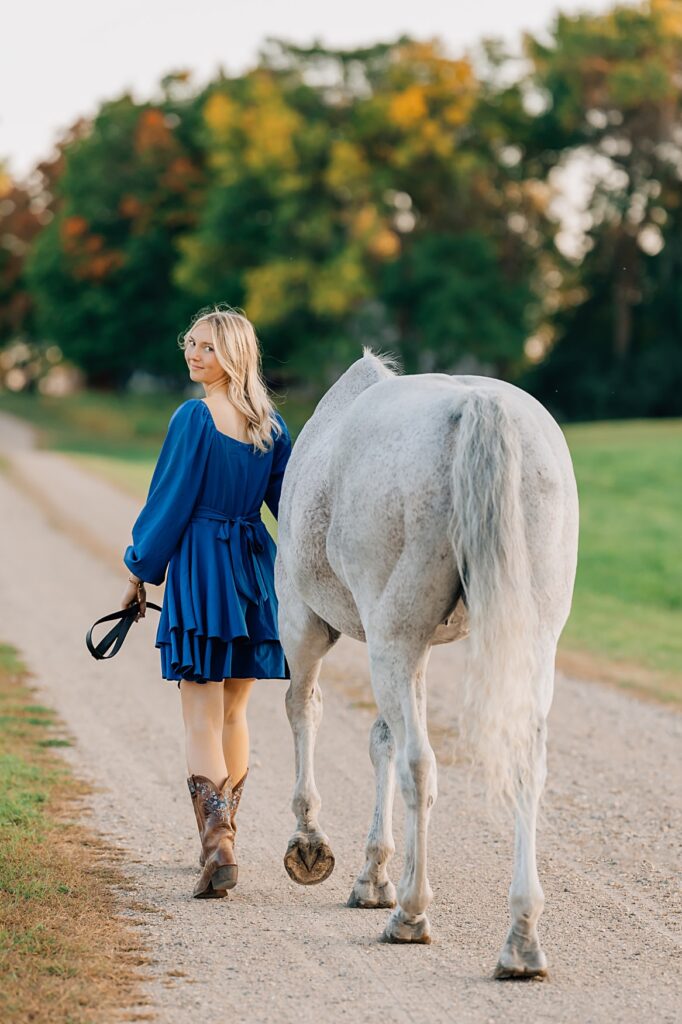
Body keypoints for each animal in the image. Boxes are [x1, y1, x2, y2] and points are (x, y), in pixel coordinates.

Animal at [274, 350, 577, 974]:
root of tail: (479, 406)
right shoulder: (411, 652)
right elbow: (380, 740)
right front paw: (373, 874)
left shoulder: (306, 623)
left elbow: (306, 710)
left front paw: (311, 844)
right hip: (528, 645)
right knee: (522, 766)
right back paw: (521, 938)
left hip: (388, 640)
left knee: (419, 765)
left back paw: (411, 915)